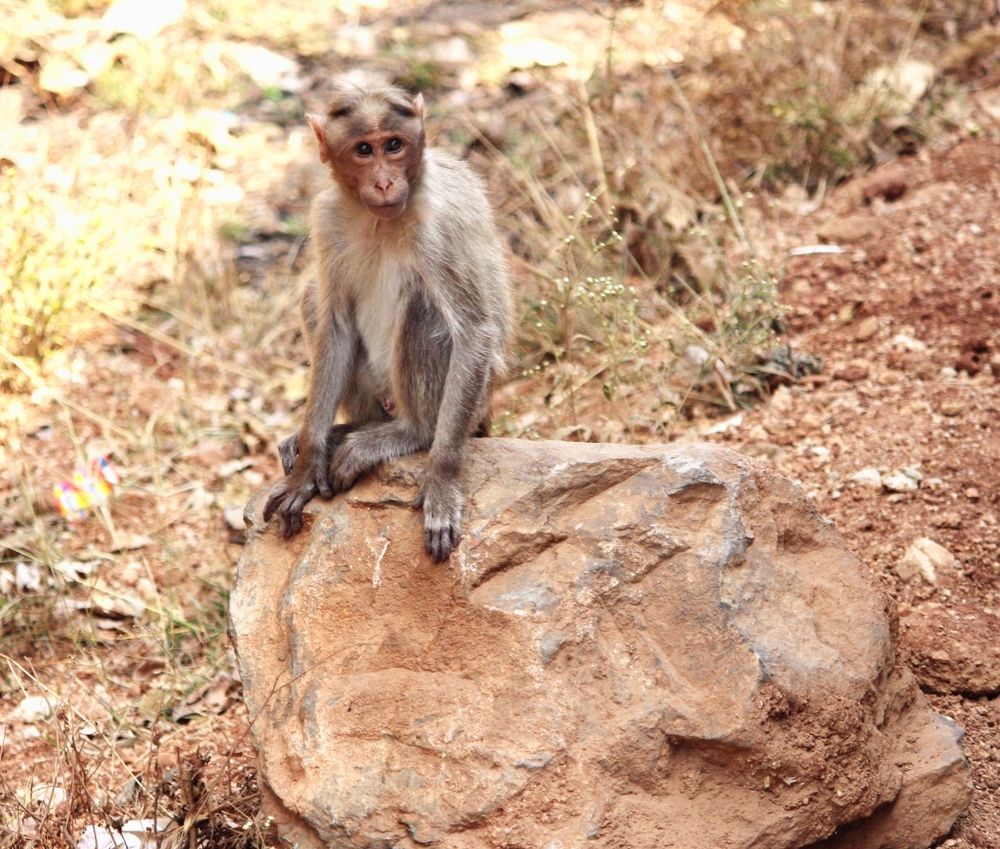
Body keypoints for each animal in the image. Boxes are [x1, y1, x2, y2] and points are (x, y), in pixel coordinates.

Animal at [263, 73, 512, 562]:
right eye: (364, 150)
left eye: (393, 145)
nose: (383, 182)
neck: (379, 219)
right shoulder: (326, 219)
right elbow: (336, 325)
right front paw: (308, 464)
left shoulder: (440, 225)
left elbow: (474, 332)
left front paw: (441, 480)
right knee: (314, 296)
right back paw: (349, 429)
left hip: (472, 406)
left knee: (427, 310)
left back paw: (410, 433)